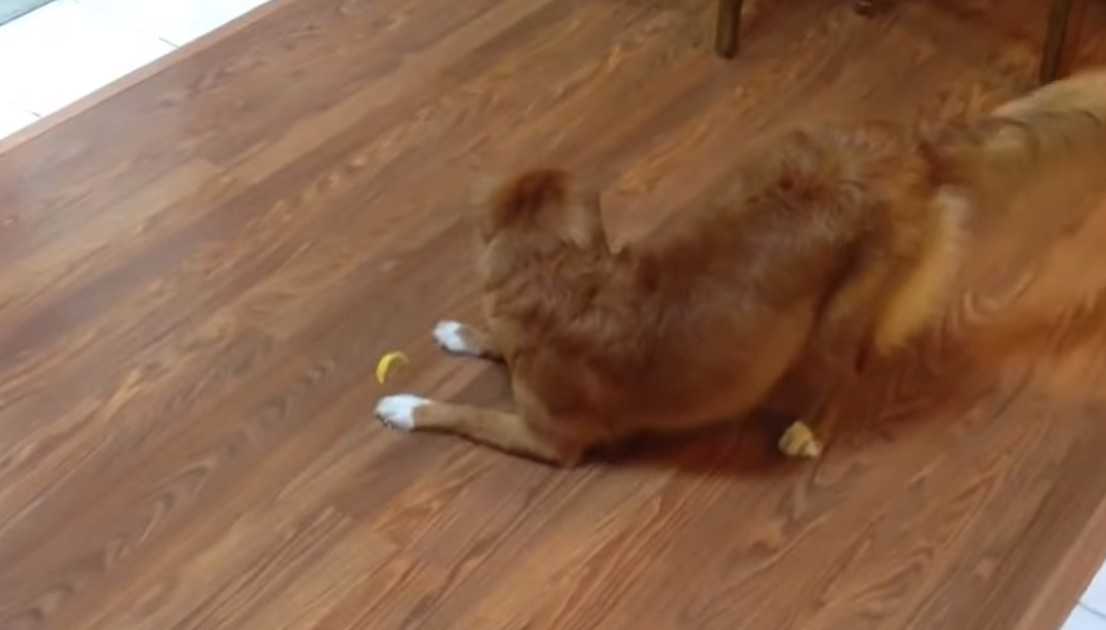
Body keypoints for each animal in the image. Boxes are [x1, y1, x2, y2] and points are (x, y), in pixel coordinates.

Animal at [375, 69, 1106, 466]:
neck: (564, 280)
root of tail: (911, 144)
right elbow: (492, 340)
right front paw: (461, 333)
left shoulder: (550, 440)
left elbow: (461, 415)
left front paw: (406, 405)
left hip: (837, 315)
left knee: (850, 372)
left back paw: (808, 432)